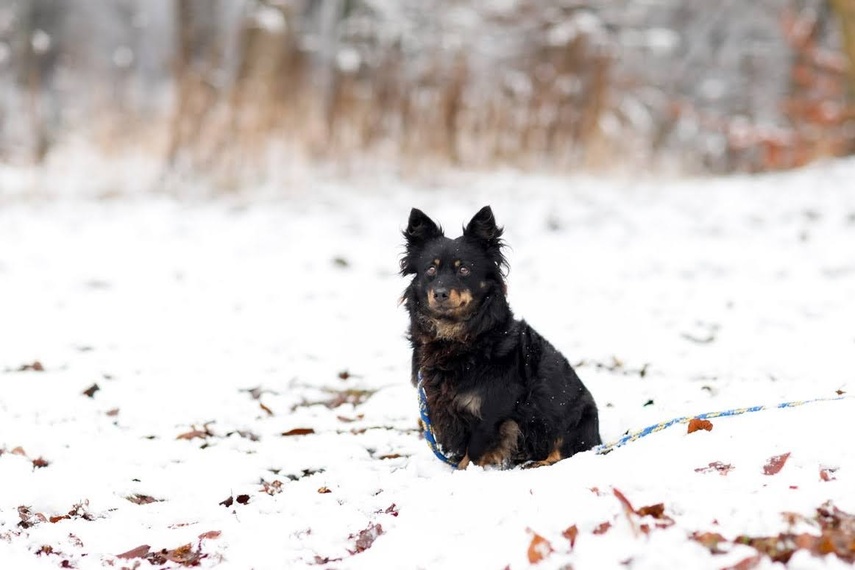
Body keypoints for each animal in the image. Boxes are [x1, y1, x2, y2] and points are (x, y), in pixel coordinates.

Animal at [402, 204, 600, 466]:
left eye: (464, 269)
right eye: (431, 270)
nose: (441, 293)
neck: (459, 338)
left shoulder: (491, 415)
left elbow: (472, 454)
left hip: (577, 418)